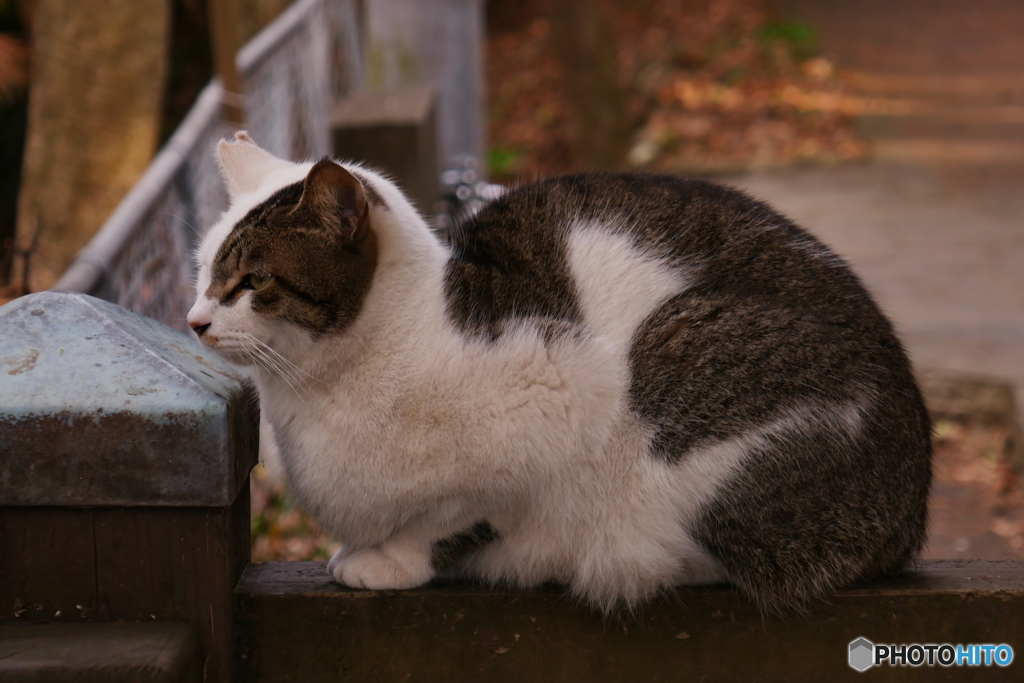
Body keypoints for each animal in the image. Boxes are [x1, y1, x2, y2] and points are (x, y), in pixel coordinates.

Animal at [188, 131, 933, 610]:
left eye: (252, 281)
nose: (194, 319)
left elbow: (451, 517)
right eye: (204, 273)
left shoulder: (553, 397)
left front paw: (389, 561)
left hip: (683, 364)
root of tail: (913, 508)